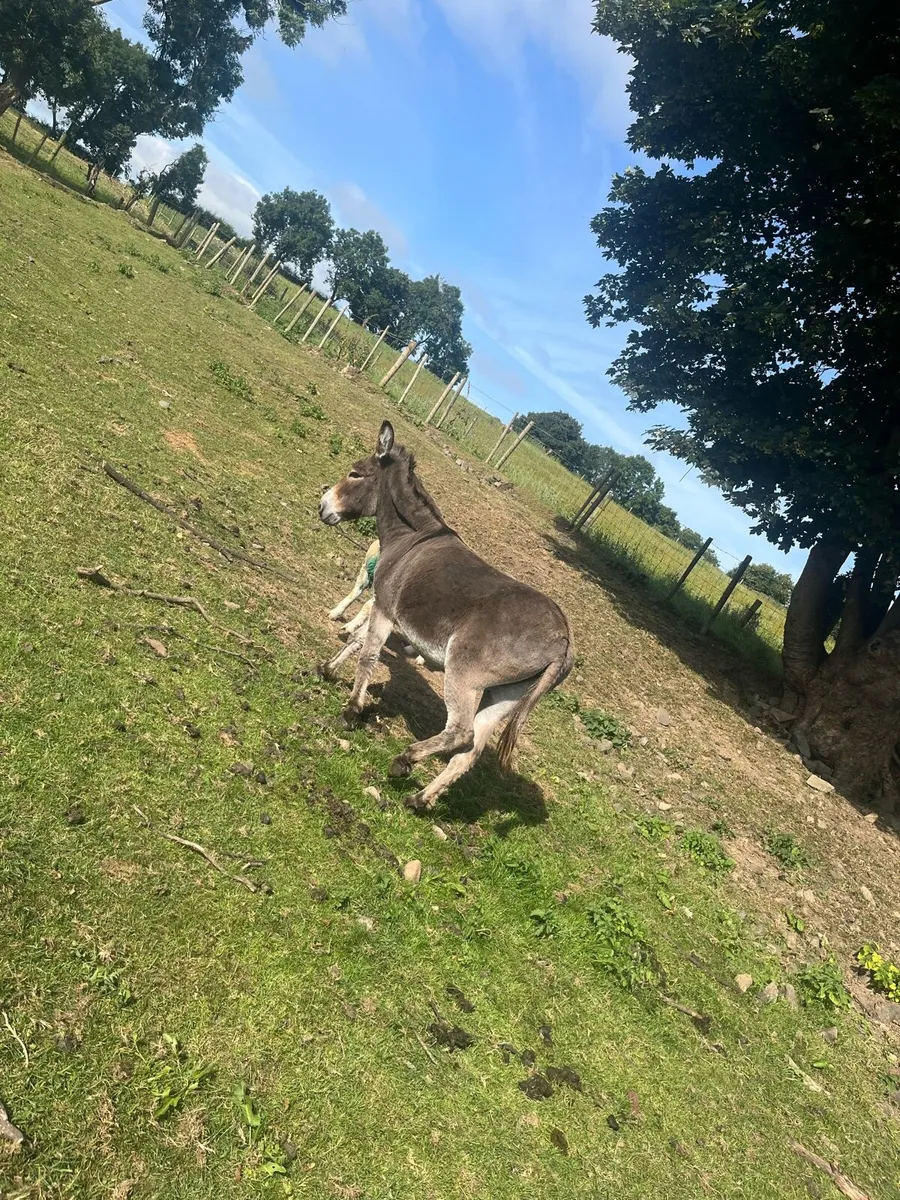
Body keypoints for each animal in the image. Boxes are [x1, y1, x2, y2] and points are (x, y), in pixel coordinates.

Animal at [318, 420, 574, 810]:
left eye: (355, 473)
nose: (321, 506)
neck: (412, 537)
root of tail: (563, 640)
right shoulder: (384, 609)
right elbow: (360, 641)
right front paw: (329, 669)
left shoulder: (385, 608)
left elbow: (368, 655)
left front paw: (350, 711)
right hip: (505, 694)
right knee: (471, 751)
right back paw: (420, 799)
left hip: (464, 675)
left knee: (460, 732)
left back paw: (404, 760)